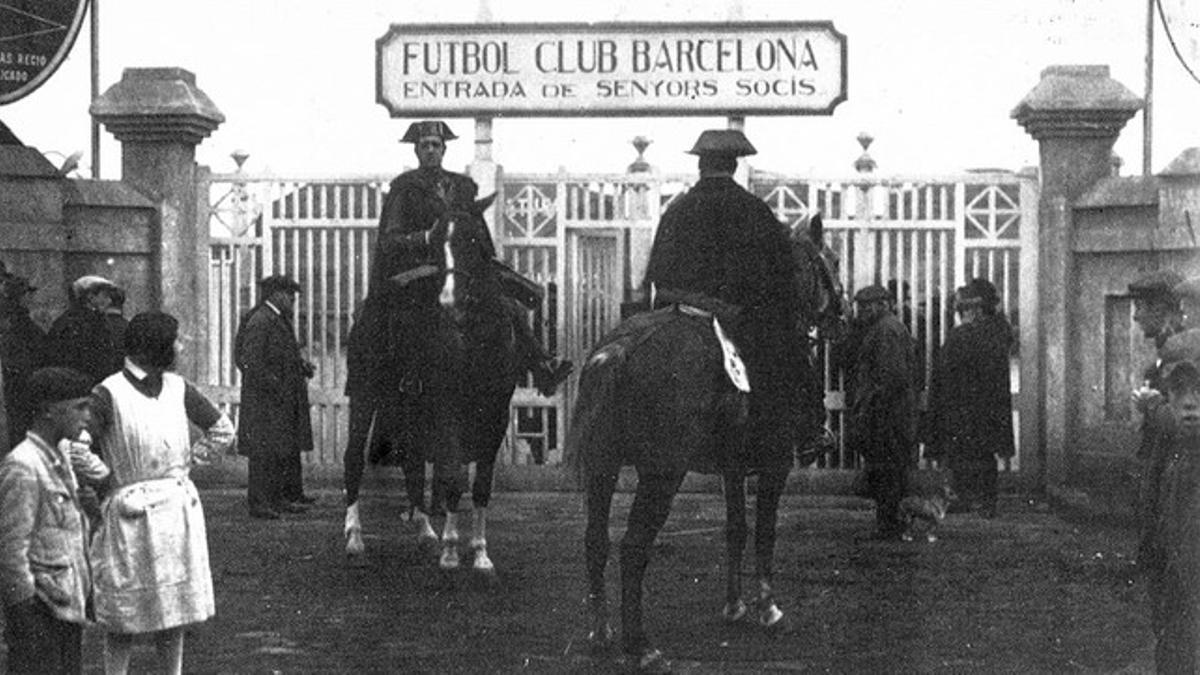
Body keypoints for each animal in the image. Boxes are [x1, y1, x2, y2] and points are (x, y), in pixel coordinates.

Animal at [340, 195, 523, 571]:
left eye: (473, 239)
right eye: (437, 244)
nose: (450, 300)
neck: (473, 335)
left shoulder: (495, 414)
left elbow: (481, 484)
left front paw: (480, 553)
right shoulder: (447, 408)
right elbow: (451, 475)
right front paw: (451, 552)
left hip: (409, 407)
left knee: (411, 461)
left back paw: (425, 532)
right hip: (365, 394)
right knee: (354, 458)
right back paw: (355, 537)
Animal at [566, 219, 840, 667]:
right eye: (829, 261)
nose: (842, 313)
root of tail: (617, 350)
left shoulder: (732, 469)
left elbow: (736, 529)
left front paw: (734, 606)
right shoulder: (775, 465)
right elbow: (764, 532)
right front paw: (769, 610)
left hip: (603, 466)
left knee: (596, 541)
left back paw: (601, 632)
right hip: (662, 475)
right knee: (633, 547)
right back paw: (641, 645)